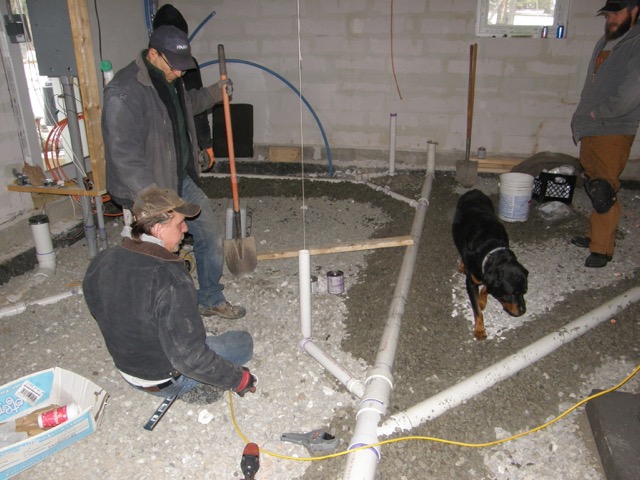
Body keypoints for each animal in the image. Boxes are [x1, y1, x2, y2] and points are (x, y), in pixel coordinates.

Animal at [452, 189, 528, 340]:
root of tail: (474, 191)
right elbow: (477, 310)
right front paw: (480, 330)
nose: (523, 311)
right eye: (511, 293)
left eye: (525, 291)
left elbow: (486, 289)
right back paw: (463, 265)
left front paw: (481, 300)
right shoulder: (471, 282)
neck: (491, 250)